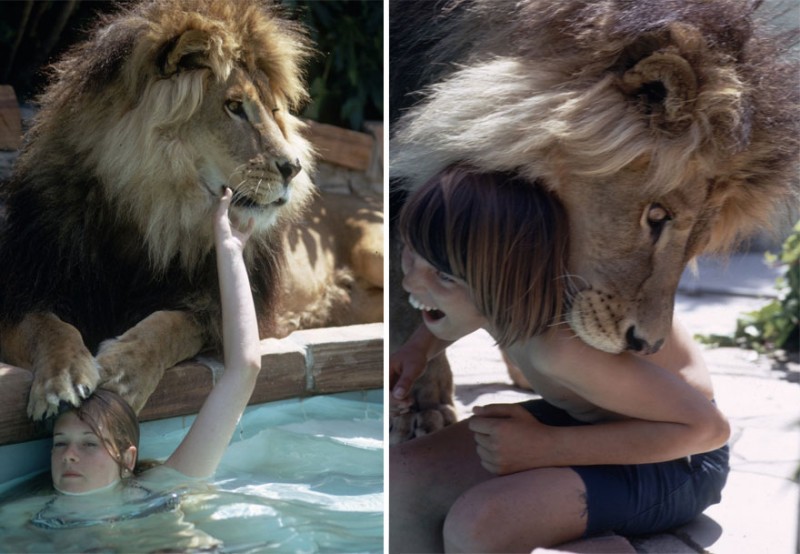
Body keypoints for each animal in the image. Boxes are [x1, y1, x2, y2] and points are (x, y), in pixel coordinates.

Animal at [0, 0, 384, 416]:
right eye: (234, 107)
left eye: (274, 110)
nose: (294, 168)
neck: (152, 213)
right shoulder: (28, 286)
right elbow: (46, 325)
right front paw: (63, 376)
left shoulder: (219, 310)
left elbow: (171, 325)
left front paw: (124, 369)